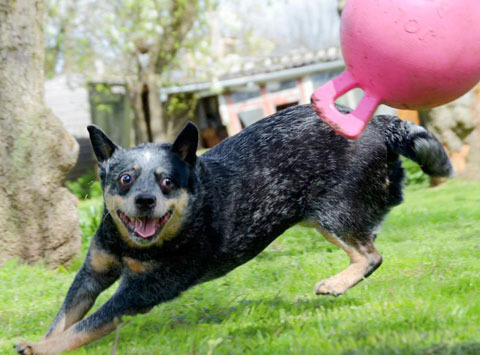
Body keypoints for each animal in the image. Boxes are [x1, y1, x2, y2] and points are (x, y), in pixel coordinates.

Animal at [14, 104, 450, 354]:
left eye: (167, 181)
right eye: (125, 179)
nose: (145, 200)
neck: (132, 248)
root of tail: (380, 121)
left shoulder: (140, 291)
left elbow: (85, 327)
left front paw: (41, 348)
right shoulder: (93, 271)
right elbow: (65, 317)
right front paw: (39, 340)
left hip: (330, 213)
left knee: (370, 254)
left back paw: (336, 283)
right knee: (369, 240)